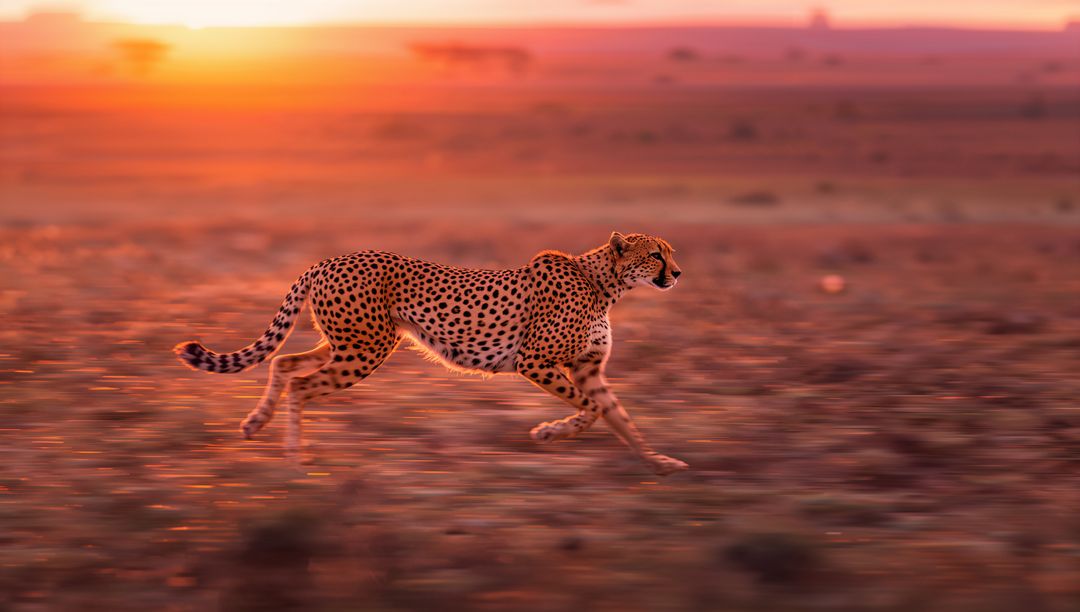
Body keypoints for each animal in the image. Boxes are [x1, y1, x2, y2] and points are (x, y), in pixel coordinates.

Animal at [174, 232, 689, 475]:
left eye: (670, 252)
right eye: (655, 255)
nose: (679, 273)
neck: (605, 283)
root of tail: (327, 260)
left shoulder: (588, 370)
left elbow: (618, 415)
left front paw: (659, 464)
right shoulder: (536, 361)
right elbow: (592, 411)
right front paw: (548, 432)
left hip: (349, 342)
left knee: (284, 362)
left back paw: (255, 424)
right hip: (366, 348)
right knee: (301, 382)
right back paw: (295, 460)